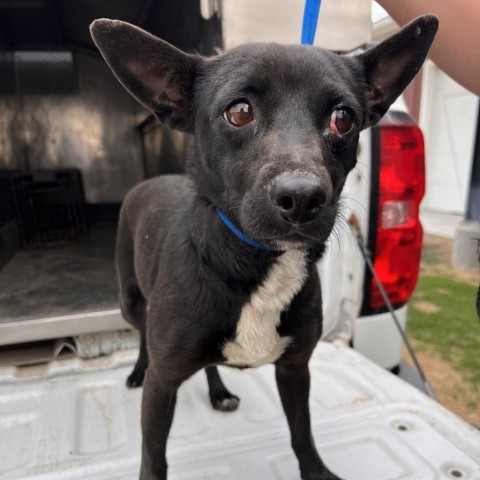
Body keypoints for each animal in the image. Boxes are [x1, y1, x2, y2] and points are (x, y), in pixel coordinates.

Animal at [89, 15, 436, 480]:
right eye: (239, 112)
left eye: (343, 118)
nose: (303, 198)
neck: (257, 263)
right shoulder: (163, 385)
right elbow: (153, 457)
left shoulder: (294, 370)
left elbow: (302, 434)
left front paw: (317, 472)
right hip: (129, 298)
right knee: (141, 331)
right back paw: (137, 370)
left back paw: (218, 393)